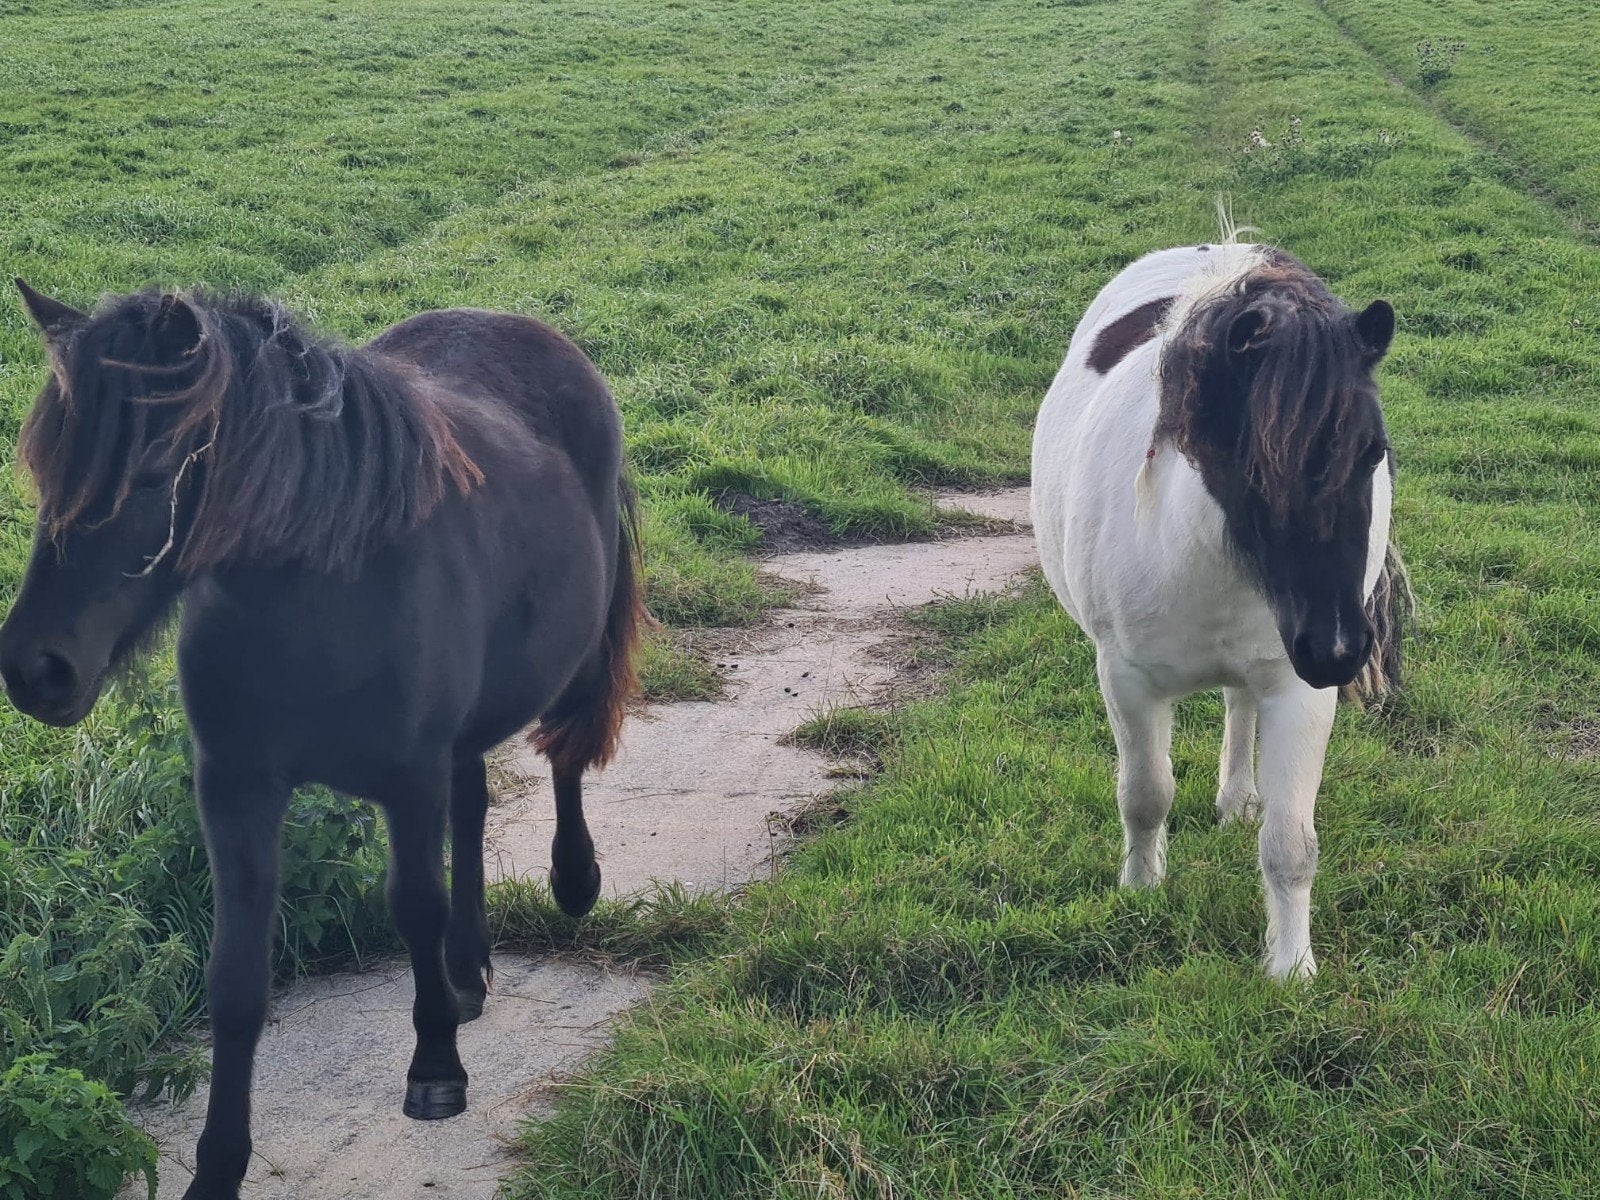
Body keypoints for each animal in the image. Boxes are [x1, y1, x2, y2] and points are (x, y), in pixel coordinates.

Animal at [0, 279, 645, 1199]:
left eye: (155, 468)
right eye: (47, 467)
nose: (37, 670)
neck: (322, 593)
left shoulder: (407, 779)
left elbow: (414, 904)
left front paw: (435, 1069)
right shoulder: (235, 792)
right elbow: (234, 980)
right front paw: (216, 1168)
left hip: (572, 655)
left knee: (564, 747)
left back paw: (571, 881)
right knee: (474, 804)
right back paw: (469, 969)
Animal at [1031, 242, 1408, 980]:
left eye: (1374, 452)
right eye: (1257, 465)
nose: (1338, 650)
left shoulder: (1298, 688)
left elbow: (1290, 842)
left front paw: (1291, 968)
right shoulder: (1128, 682)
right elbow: (1145, 794)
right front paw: (1141, 892)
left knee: (1239, 705)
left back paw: (1237, 799)